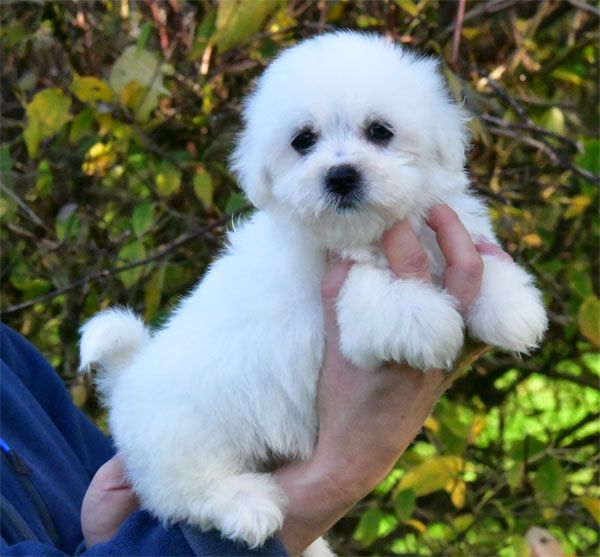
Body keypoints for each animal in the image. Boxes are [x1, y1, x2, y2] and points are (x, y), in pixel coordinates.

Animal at [81, 32, 548, 552]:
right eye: (303, 141)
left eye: (380, 131)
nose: (340, 175)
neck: (362, 233)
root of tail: (128, 375)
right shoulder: (348, 294)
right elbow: (377, 296)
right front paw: (430, 320)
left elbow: (484, 259)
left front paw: (513, 307)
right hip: (180, 436)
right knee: (183, 491)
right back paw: (245, 505)